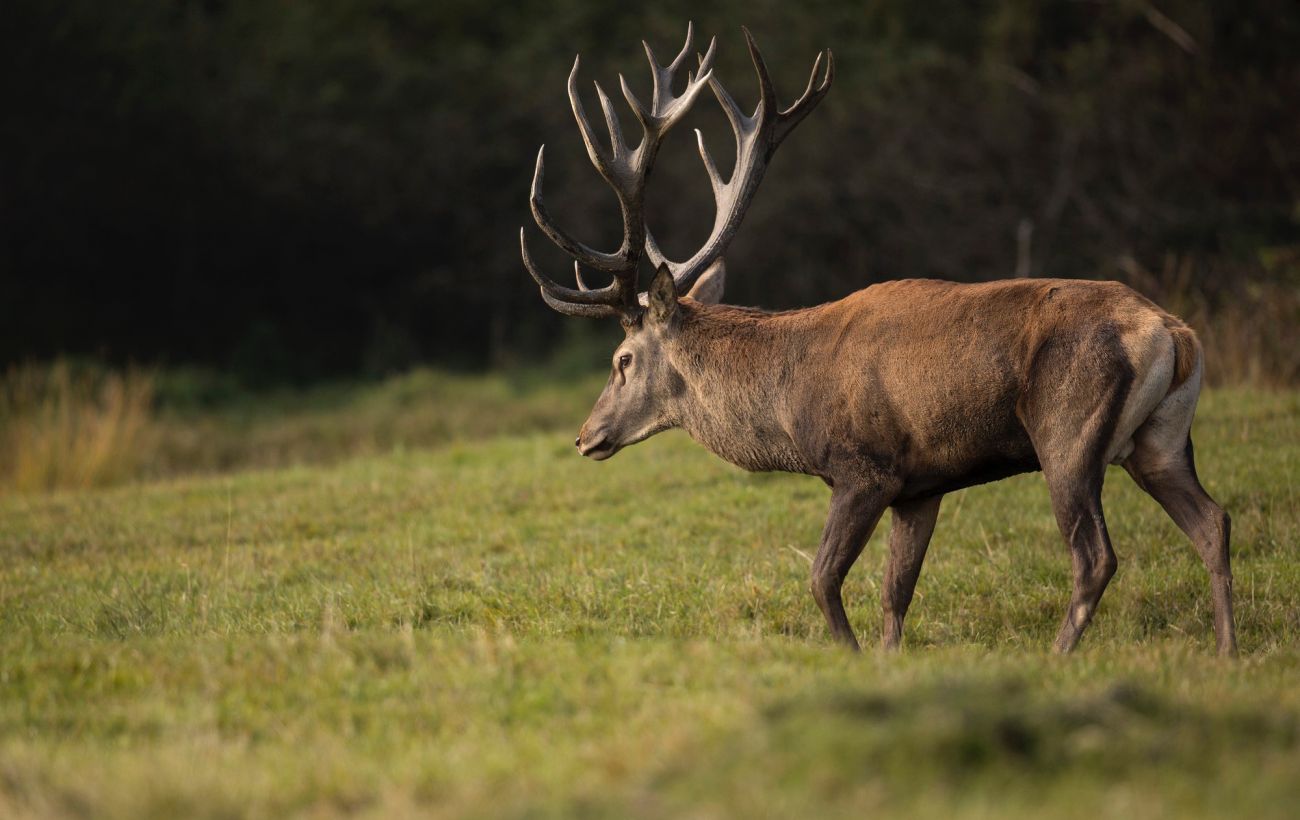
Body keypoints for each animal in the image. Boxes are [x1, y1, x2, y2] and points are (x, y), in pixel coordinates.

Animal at [517, 22, 1237, 657]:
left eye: (621, 359)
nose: (585, 436)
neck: (786, 405)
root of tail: (1174, 334)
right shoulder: (922, 486)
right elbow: (897, 592)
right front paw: (890, 659)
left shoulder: (865, 467)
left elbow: (821, 579)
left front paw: (852, 657)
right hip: (1161, 441)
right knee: (1213, 522)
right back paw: (1227, 651)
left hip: (1068, 431)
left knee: (1095, 557)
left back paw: (1060, 656)